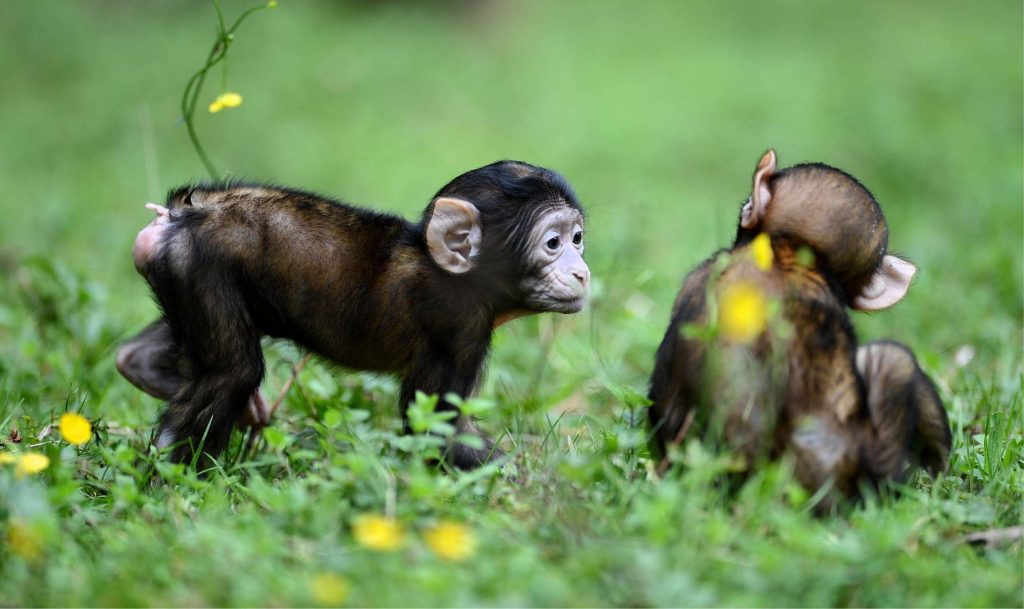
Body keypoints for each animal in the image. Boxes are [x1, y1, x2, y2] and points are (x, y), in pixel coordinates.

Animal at [116, 160, 589, 466]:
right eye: (553, 243)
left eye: (578, 238)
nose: (582, 272)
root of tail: (182, 213)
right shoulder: (459, 326)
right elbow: (435, 429)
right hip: (197, 263)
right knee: (232, 371)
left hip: (177, 272)